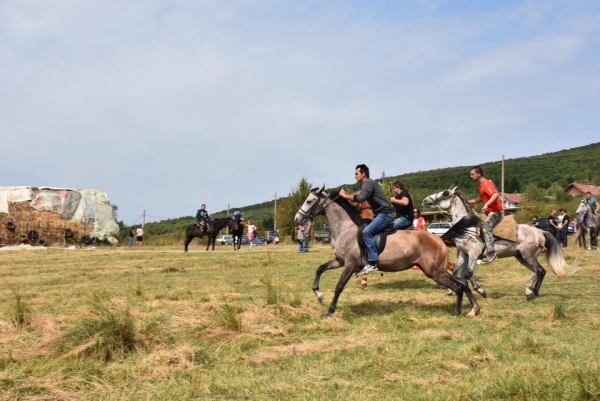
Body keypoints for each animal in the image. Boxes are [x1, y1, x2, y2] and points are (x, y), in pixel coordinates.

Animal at [292, 186, 480, 318]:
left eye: (309, 201)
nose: (297, 219)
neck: (345, 229)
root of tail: (439, 239)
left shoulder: (350, 264)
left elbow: (339, 286)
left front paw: (330, 310)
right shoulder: (340, 261)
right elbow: (320, 269)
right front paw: (319, 294)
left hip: (434, 272)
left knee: (458, 285)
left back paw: (457, 312)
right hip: (436, 270)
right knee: (462, 282)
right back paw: (474, 309)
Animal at [422, 186, 572, 298]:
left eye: (445, 193)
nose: (425, 200)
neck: (468, 227)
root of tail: (541, 232)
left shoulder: (473, 254)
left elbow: (468, 273)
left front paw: (481, 291)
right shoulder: (463, 254)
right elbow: (456, 272)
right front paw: (450, 290)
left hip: (528, 255)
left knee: (539, 271)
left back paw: (530, 291)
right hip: (521, 257)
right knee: (540, 271)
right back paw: (533, 291)